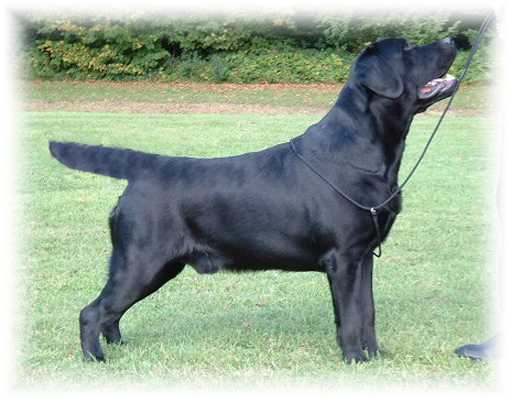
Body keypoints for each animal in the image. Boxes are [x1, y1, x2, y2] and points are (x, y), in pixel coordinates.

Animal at [49, 37, 457, 363]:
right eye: (407, 50)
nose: (453, 39)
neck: (364, 150)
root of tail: (143, 170)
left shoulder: (363, 256)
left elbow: (368, 311)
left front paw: (375, 356)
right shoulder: (342, 258)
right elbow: (351, 317)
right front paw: (355, 359)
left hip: (154, 266)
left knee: (110, 312)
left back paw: (117, 345)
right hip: (142, 261)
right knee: (91, 312)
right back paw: (95, 359)